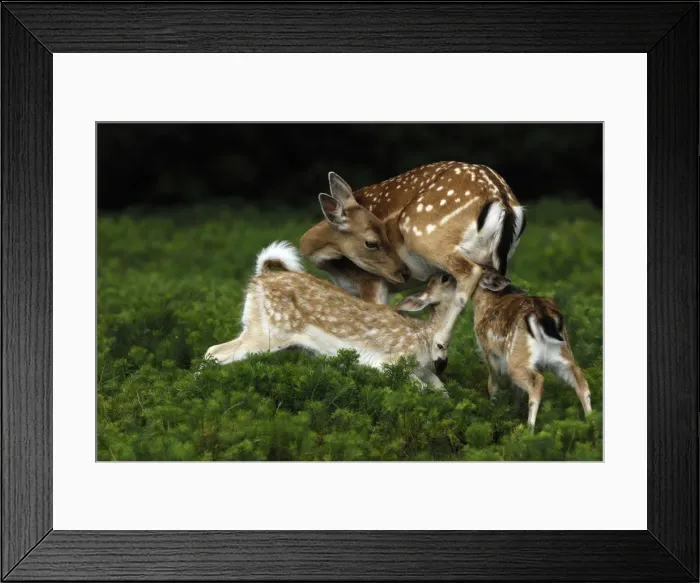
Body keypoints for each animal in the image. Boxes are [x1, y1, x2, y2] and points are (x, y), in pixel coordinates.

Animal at [203, 241, 461, 395]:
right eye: (442, 279)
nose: (450, 273)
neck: (426, 339)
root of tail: (259, 279)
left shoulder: (423, 370)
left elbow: (441, 389)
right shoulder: (385, 362)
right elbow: (420, 387)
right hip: (265, 334)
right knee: (214, 351)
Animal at [299, 161, 526, 370]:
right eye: (373, 241)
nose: (403, 273)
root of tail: (502, 200)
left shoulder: (371, 280)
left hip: (424, 235)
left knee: (468, 273)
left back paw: (440, 350)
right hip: (495, 262)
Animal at [471, 267, 593, 430]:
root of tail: (542, 313)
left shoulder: (488, 352)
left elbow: (493, 383)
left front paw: (494, 407)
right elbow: (517, 390)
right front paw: (513, 411)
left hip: (517, 357)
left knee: (537, 381)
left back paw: (528, 429)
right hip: (561, 353)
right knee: (579, 377)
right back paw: (592, 421)